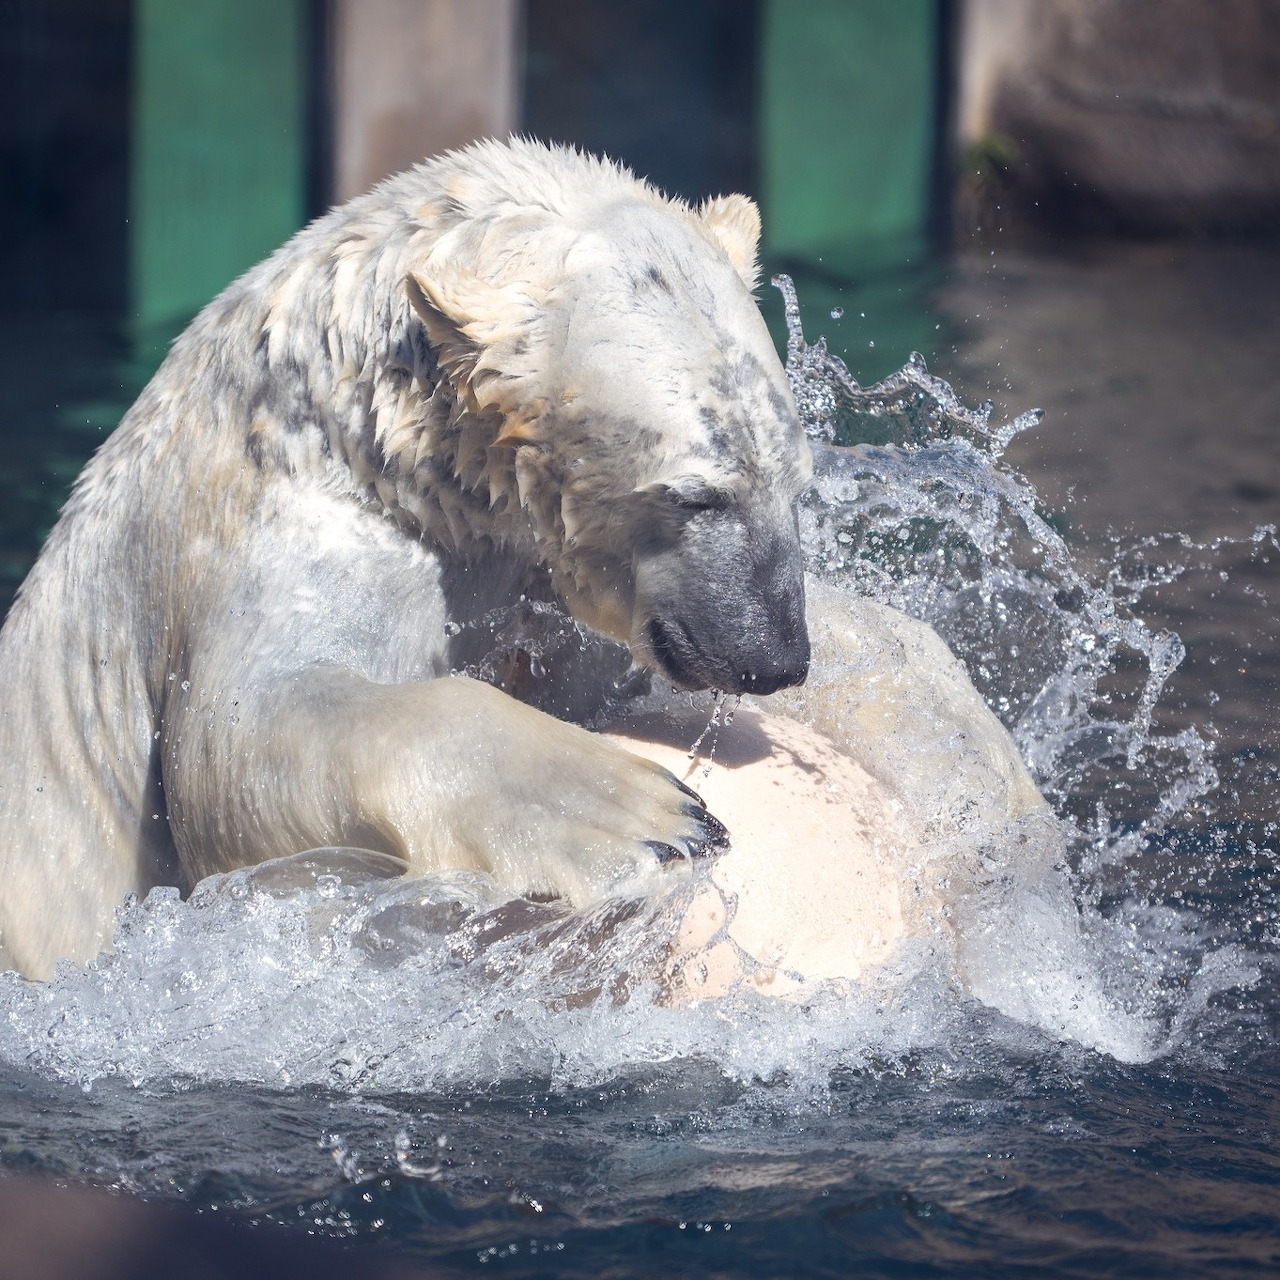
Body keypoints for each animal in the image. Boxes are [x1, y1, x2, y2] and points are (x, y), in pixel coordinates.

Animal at [0, 139, 816, 979]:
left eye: (798, 482)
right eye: (697, 495)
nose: (772, 657)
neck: (372, 442)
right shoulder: (284, 532)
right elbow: (241, 739)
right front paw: (651, 816)